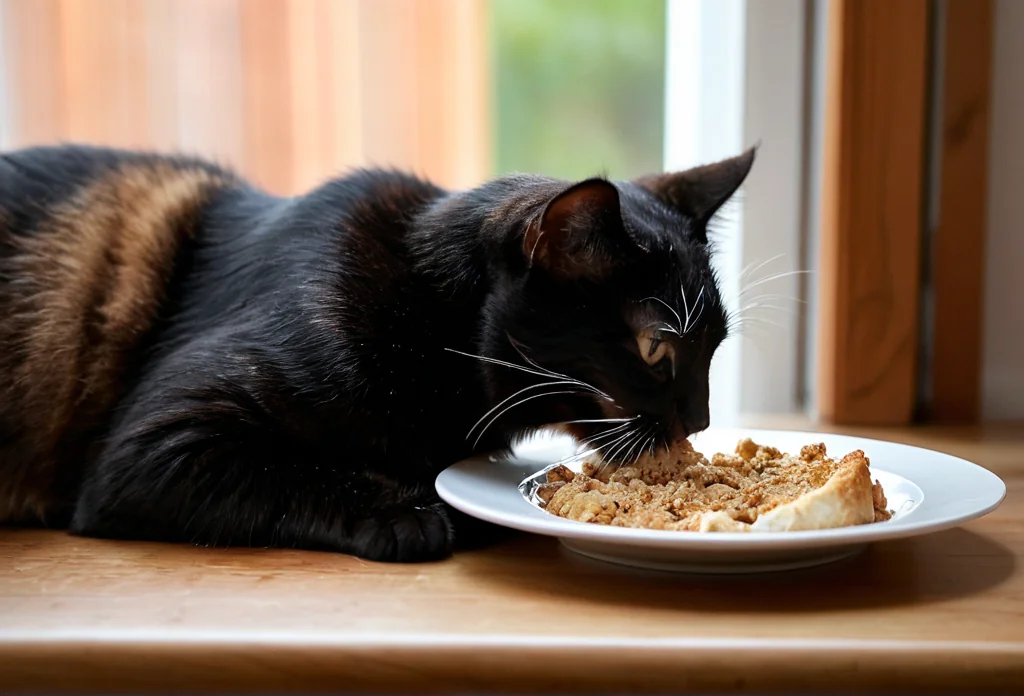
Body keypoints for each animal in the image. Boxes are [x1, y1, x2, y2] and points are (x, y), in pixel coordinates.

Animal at [0, 144, 753, 560]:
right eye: (656, 349)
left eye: (716, 345)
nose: (703, 419)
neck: (425, 315)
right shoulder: (154, 448)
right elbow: (296, 471)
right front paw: (405, 513)